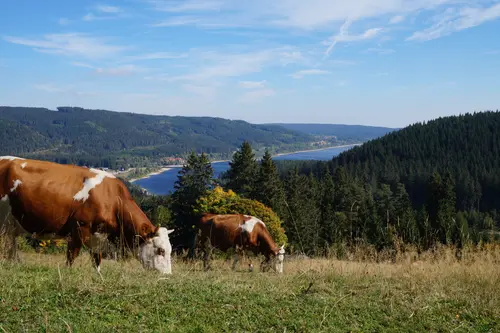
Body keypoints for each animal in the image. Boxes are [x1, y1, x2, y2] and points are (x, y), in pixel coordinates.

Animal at [0, 157, 175, 274]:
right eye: (160, 250)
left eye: (170, 250)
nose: (167, 276)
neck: (113, 198)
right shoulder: (79, 229)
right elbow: (72, 256)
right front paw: (67, 273)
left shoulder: (98, 235)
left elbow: (97, 259)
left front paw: (98, 276)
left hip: (10, 225)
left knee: (10, 247)